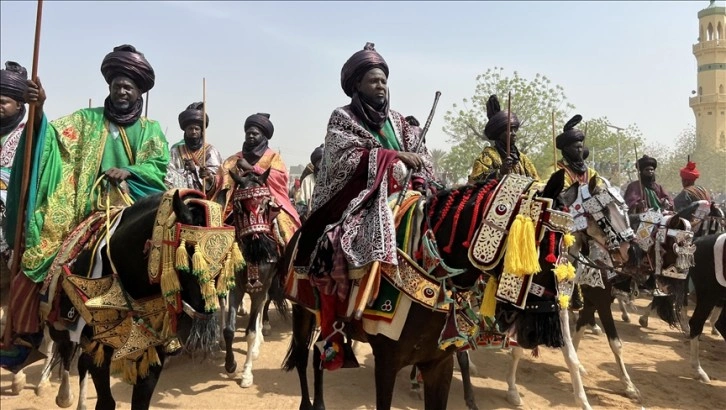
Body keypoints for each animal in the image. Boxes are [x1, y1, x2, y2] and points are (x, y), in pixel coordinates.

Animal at [42, 190, 237, 410]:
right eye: (187, 253)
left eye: (225, 260)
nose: (199, 330)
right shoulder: (99, 348)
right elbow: (105, 400)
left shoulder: (152, 348)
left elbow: (141, 399)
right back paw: (64, 395)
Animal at [222, 168, 290, 390]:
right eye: (238, 206)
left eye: (266, 202)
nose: (258, 241)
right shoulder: (235, 288)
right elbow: (228, 329)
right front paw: (230, 365)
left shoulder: (261, 287)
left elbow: (251, 331)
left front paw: (246, 373)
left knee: (262, 307)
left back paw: (261, 334)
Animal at [282, 172, 596, 410]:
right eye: (537, 244)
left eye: (565, 246)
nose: (539, 332)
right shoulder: (386, 362)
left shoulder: (439, 364)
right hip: (301, 311)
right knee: (302, 354)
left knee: (319, 354)